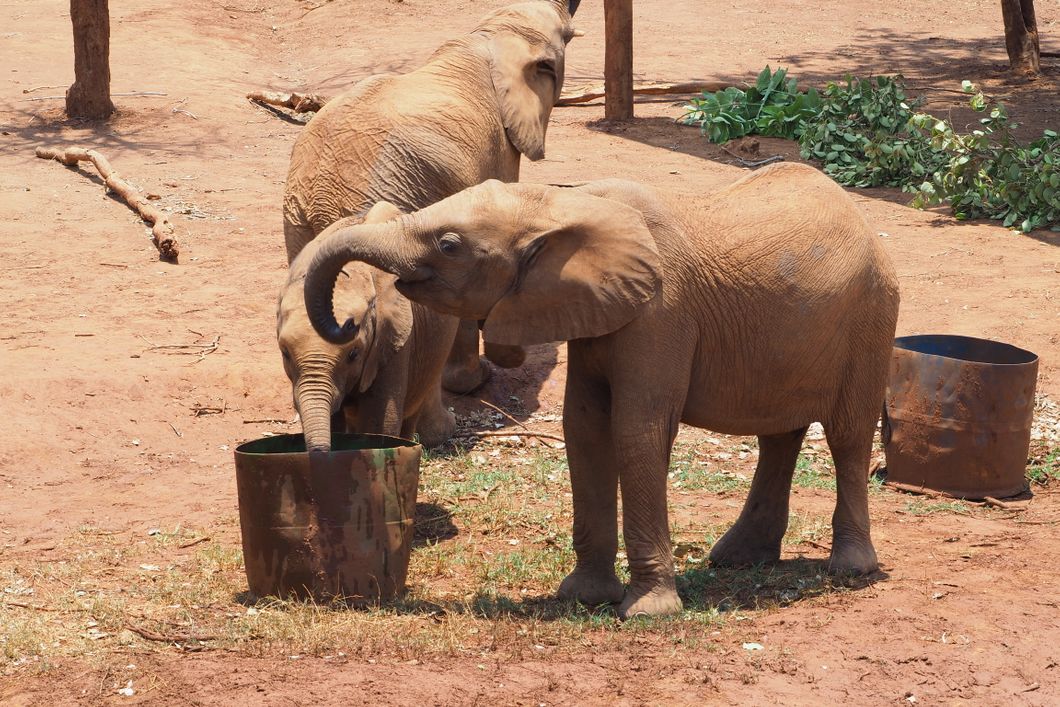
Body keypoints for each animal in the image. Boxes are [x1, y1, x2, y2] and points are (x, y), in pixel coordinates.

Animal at [280, 0, 582, 440]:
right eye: (566, 38)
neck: (489, 35)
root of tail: (324, 200)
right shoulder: (500, 151)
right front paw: (485, 374)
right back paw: (444, 425)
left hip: (297, 225)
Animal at [300, 162, 901, 618]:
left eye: (449, 245)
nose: (348, 325)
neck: (562, 205)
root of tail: (858, 215)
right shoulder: (592, 312)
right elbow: (584, 428)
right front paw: (585, 598)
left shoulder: (661, 312)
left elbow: (636, 431)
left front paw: (649, 613)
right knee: (780, 435)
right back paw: (737, 558)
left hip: (872, 315)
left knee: (847, 434)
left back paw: (849, 568)